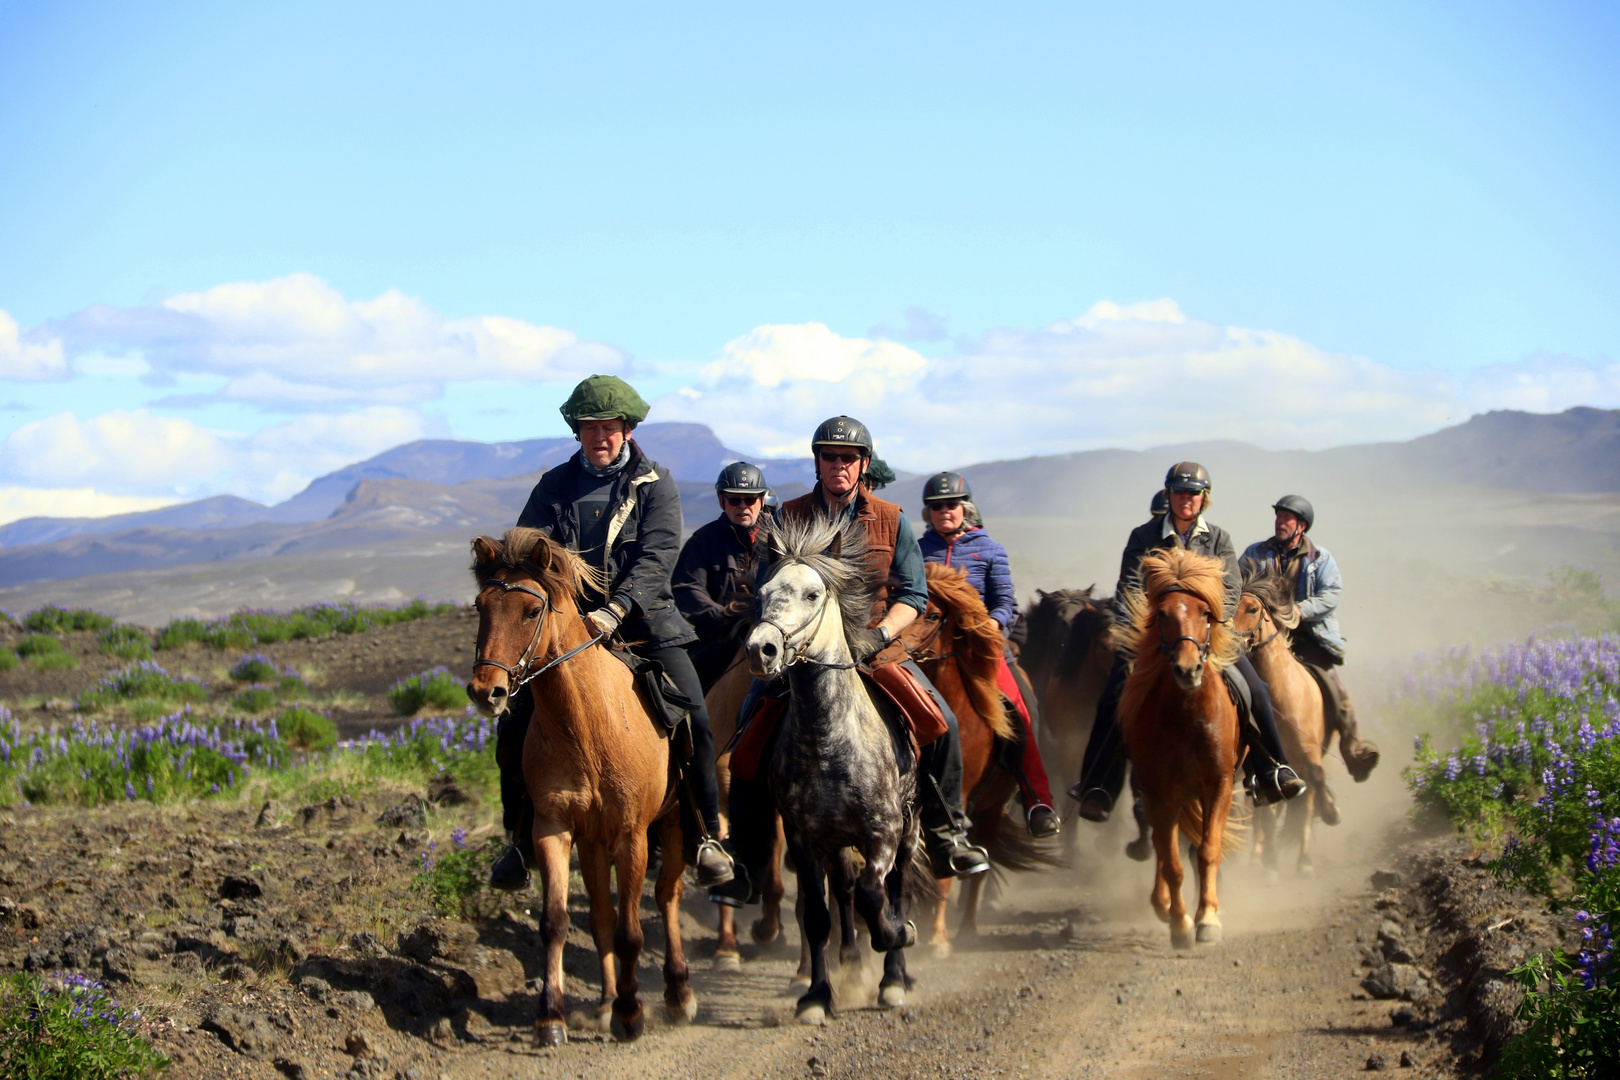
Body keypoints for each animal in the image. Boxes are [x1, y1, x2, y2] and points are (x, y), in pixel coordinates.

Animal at [469, 531, 696, 1049]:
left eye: (532, 610)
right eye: (480, 606)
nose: (486, 691)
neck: (588, 724)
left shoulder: (632, 835)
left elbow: (632, 932)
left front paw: (632, 1014)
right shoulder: (552, 828)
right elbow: (557, 922)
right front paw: (550, 1017)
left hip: (672, 823)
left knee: (667, 897)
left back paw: (677, 994)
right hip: (593, 842)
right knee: (600, 917)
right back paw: (607, 1001)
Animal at [741, 514, 926, 1023]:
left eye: (812, 594)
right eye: (765, 591)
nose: (761, 649)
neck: (826, 740)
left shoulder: (883, 833)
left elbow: (875, 899)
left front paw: (900, 937)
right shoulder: (805, 839)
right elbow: (817, 917)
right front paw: (816, 996)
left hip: (910, 829)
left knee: (896, 889)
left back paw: (895, 977)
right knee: (843, 892)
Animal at [1121, 550, 1244, 945]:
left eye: (1205, 613)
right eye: (1162, 614)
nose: (1187, 670)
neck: (1187, 715)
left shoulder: (1219, 785)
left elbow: (1207, 852)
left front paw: (1208, 919)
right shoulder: (1159, 792)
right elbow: (1172, 862)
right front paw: (1179, 923)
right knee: (1163, 848)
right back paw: (1163, 905)